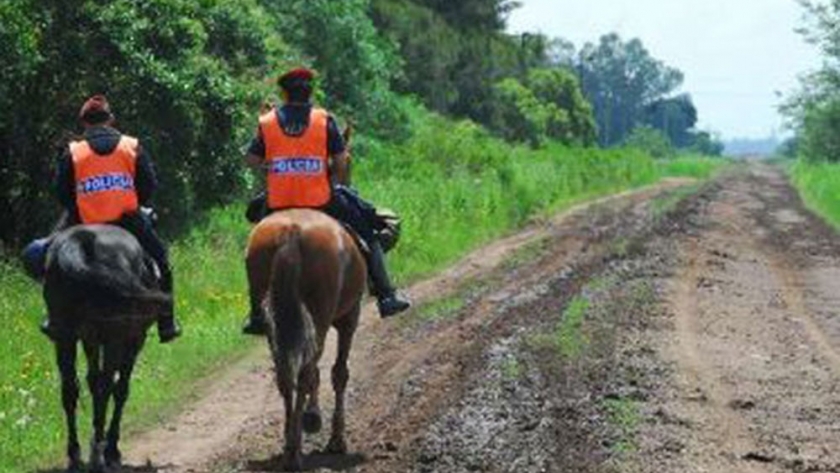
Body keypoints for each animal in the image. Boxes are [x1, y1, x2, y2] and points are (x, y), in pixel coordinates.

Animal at [248, 208, 370, 470]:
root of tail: (291, 232)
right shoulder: (349, 319)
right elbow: (338, 374)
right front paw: (335, 438)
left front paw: (311, 418)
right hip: (322, 317)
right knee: (306, 374)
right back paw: (295, 450)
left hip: (274, 325)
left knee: (285, 375)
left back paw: (290, 444)